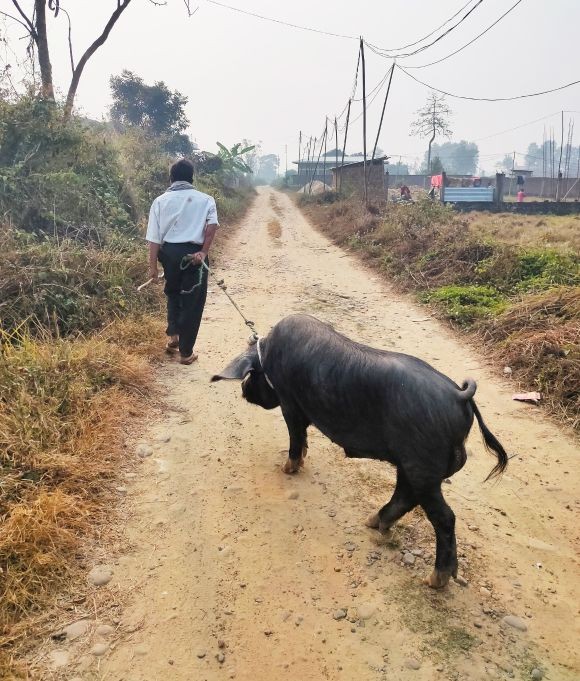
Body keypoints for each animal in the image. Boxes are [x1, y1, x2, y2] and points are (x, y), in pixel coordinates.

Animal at [214, 314, 508, 584]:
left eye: (251, 375)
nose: (243, 391)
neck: (269, 358)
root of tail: (459, 396)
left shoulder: (289, 403)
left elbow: (295, 436)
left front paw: (287, 469)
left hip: (421, 464)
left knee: (443, 516)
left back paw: (435, 580)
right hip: (413, 465)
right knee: (406, 496)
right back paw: (373, 522)